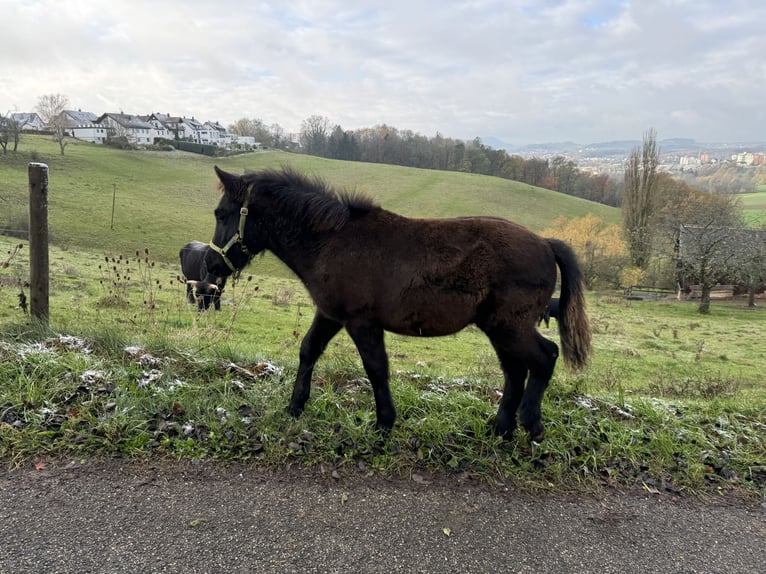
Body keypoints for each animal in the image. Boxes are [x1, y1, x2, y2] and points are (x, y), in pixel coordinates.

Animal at [201, 166, 592, 440]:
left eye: (221, 214)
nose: (211, 264)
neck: (333, 242)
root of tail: (545, 243)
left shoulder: (361, 322)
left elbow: (376, 368)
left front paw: (384, 423)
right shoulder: (330, 314)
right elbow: (309, 351)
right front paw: (295, 406)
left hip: (510, 326)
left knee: (545, 357)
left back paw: (531, 425)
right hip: (498, 328)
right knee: (515, 371)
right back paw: (501, 428)